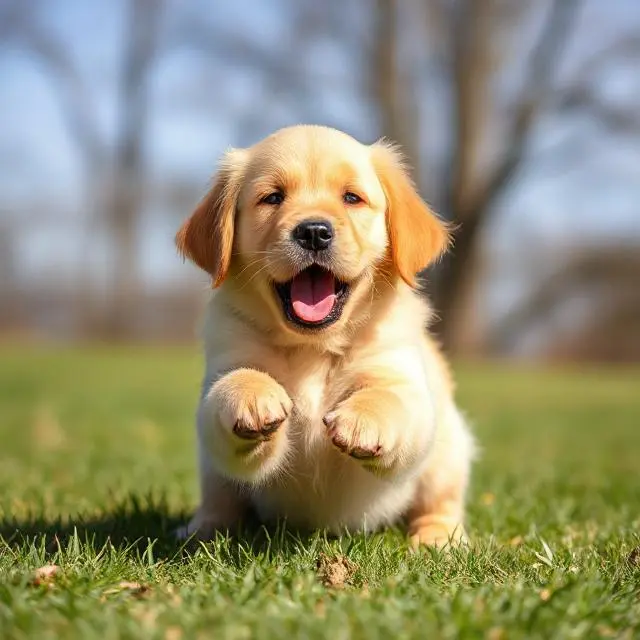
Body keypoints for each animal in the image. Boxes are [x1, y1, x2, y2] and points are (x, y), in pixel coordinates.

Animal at [175, 127, 476, 548]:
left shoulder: (402, 378)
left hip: (449, 452)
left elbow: (391, 397)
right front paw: (253, 396)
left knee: (440, 502)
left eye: (352, 198)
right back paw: (202, 529)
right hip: (212, 472)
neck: (312, 346)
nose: (314, 232)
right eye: (273, 197)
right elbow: (233, 383)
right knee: (221, 501)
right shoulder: (225, 366)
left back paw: (437, 538)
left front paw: (363, 420)